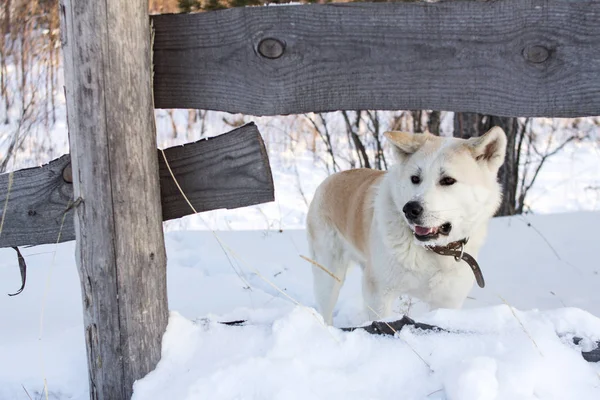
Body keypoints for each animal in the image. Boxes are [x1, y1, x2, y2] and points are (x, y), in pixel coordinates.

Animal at [304, 126, 506, 324]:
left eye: (448, 180)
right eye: (415, 178)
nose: (410, 209)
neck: (431, 250)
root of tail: (328, 180)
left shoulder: (446, 303)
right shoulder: (379, 295)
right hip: (328, 275)